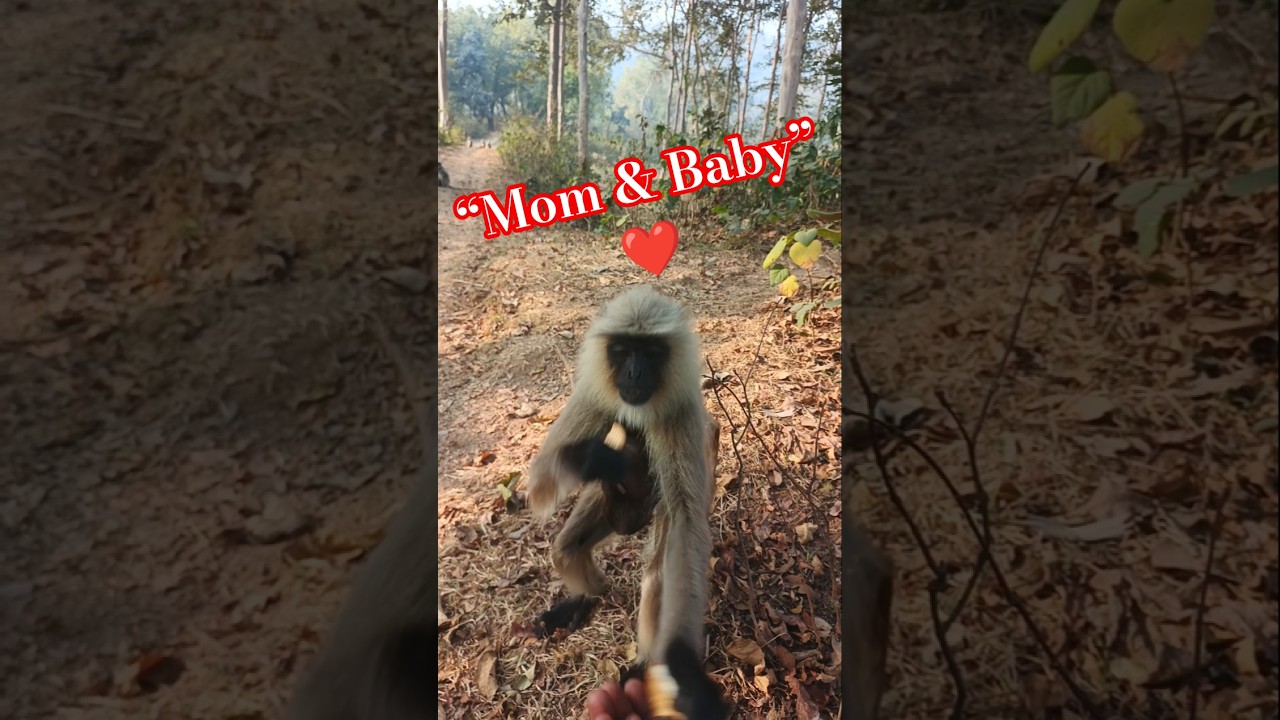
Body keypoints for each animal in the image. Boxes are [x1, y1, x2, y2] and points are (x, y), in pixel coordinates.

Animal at [526, 285, 729, 719]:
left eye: (650, 352)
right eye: (622, 350)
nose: (635, 373)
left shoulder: (679, 414)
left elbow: (687, 522)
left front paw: (683, 668)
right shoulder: (593, 398)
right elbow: (539, 481)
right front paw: (592, 460)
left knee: (660, 564)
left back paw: (648, 662)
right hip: (609, 513)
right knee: (565, 547)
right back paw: (585, 596)